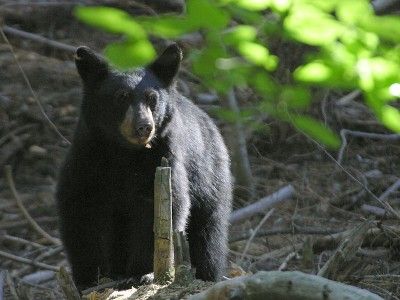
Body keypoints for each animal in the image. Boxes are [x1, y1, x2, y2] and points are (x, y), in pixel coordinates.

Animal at [55, 43, 231, 290]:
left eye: (152, 98)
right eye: (122, 96)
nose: (144, 127)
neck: (124, 153)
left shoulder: (162, 159)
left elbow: (158, 210)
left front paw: (141, 272)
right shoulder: (88, 157)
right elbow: (80, 209)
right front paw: (90, 277)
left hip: (209, 177)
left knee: (208, 233)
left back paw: (206, 273)